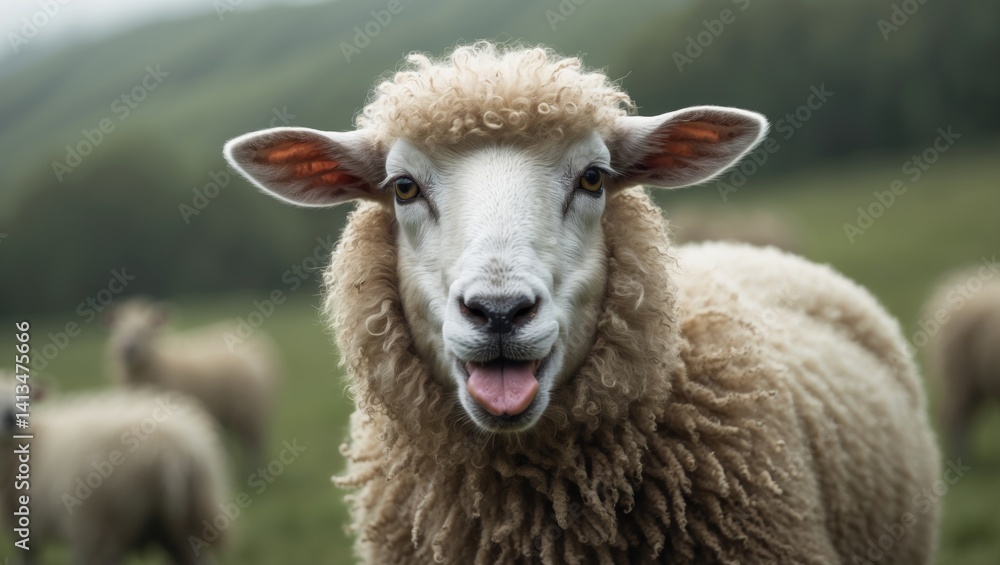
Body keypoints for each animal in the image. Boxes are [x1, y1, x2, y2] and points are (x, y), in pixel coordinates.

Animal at [0, 371, 230, 564]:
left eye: (26, 398)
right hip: (188, 523)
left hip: (102, 526)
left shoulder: (26, 525)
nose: (11, 418)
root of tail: (172, 451)